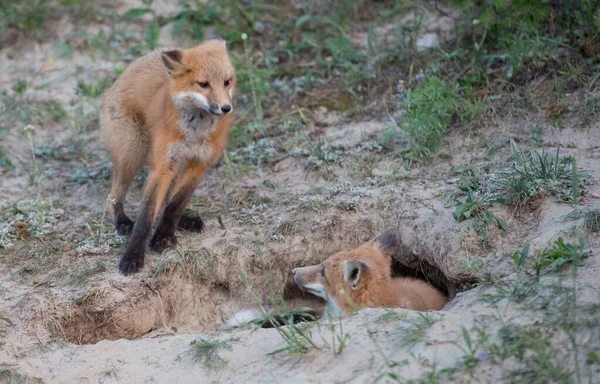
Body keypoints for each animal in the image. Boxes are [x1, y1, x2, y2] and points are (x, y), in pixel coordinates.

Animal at [101, 37, 234, 274]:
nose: (226, 108)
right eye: (204, 84)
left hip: (173, 164)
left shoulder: (199, 163)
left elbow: (175, 205)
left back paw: (182, 222)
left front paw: (164, 236)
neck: (194, 134)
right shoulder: (163, 164)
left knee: (166, 201)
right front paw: (133, 255)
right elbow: (145, 217)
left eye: (227, 82)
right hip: (133, 153)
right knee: (114, 195)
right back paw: (122, 221)